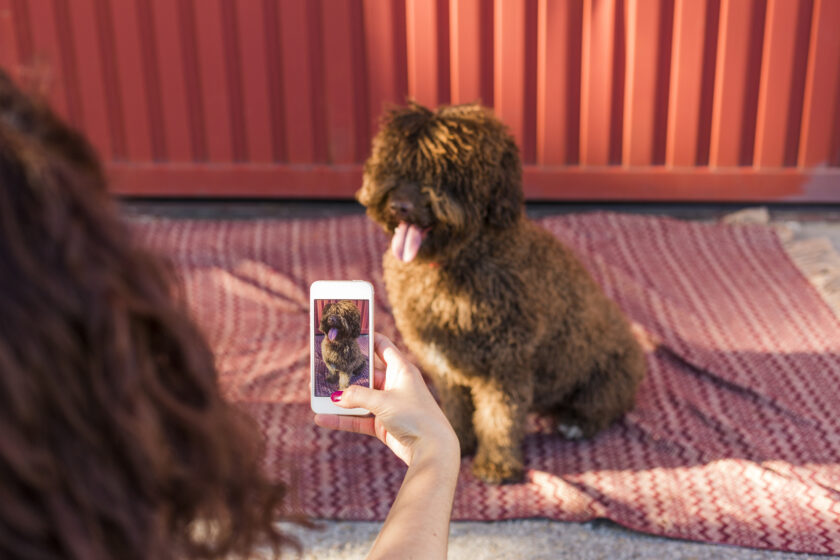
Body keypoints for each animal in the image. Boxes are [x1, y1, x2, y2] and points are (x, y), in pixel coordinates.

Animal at [358, 103, 648, 484]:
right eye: (394, 163)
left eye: (447, 174)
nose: (400, 205)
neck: (456, 261)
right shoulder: (445, 366)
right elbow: (456, 409)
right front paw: (456, 440)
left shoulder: (505, 366)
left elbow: (500, 419)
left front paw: (496, 465)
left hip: (608, 376)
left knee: (605, 407)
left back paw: (576, 423)